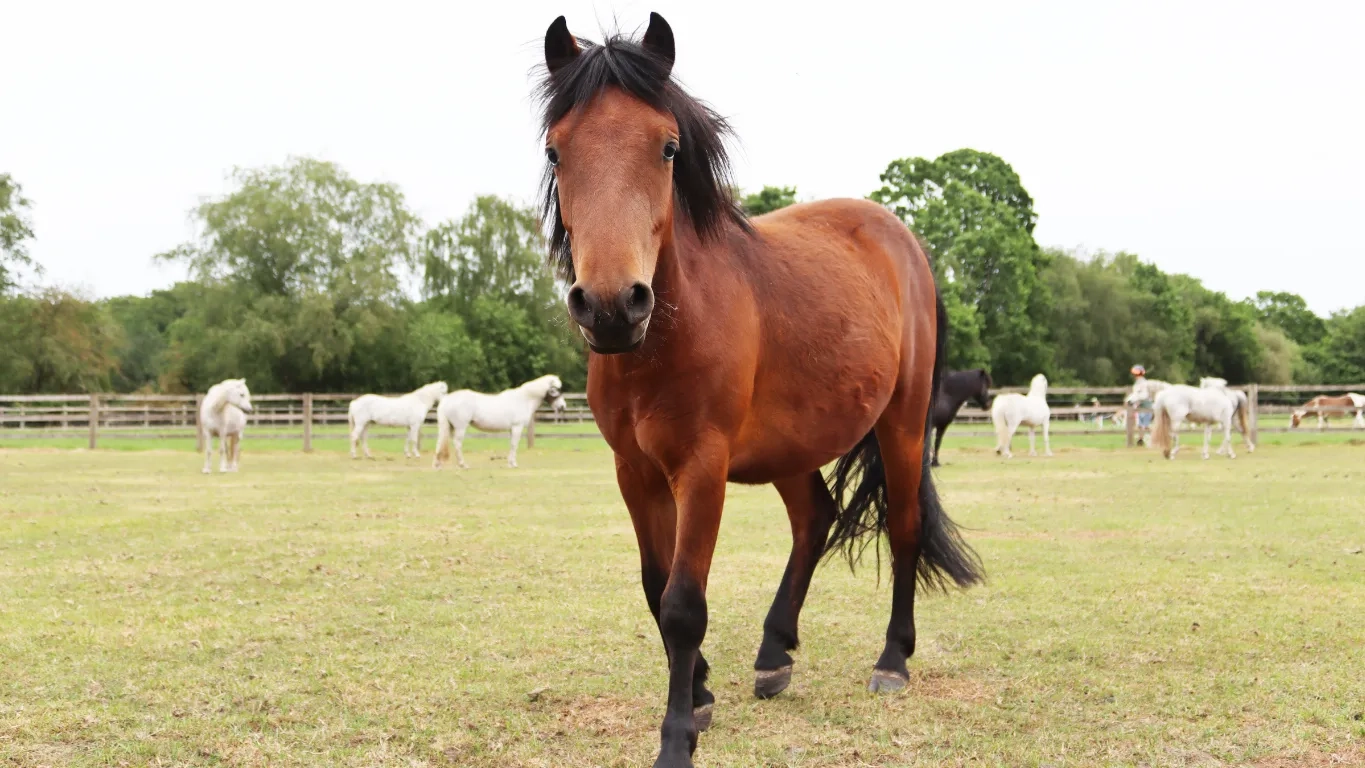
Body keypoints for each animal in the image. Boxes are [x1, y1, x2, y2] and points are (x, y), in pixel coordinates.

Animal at [433, 375, 563, 469]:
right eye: (554, 390)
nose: (562, 407)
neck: (524, 399)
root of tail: (446, 399)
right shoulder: (517, 427)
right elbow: (514, 444)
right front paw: (513, 464)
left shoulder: (512, 429)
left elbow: (512, 444)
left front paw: (510, 462)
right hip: (460, 427)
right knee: (457, 443)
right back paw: (463, 465)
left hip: (449, 426)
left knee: (440, 442)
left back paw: (438, 465)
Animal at [536, 15, 981, 766]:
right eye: (555, 151)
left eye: (667, 148)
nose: (610, 306)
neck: (667, 334)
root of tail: (905, 243)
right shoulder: (635, 472)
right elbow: (656, 588)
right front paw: (701, 691)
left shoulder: (702, 467)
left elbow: (683, 604)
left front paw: (677, 735)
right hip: (790, 445)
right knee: (815, 518)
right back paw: (775, 653)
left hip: (900, 425)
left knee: (903, 527)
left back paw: (892, 660)